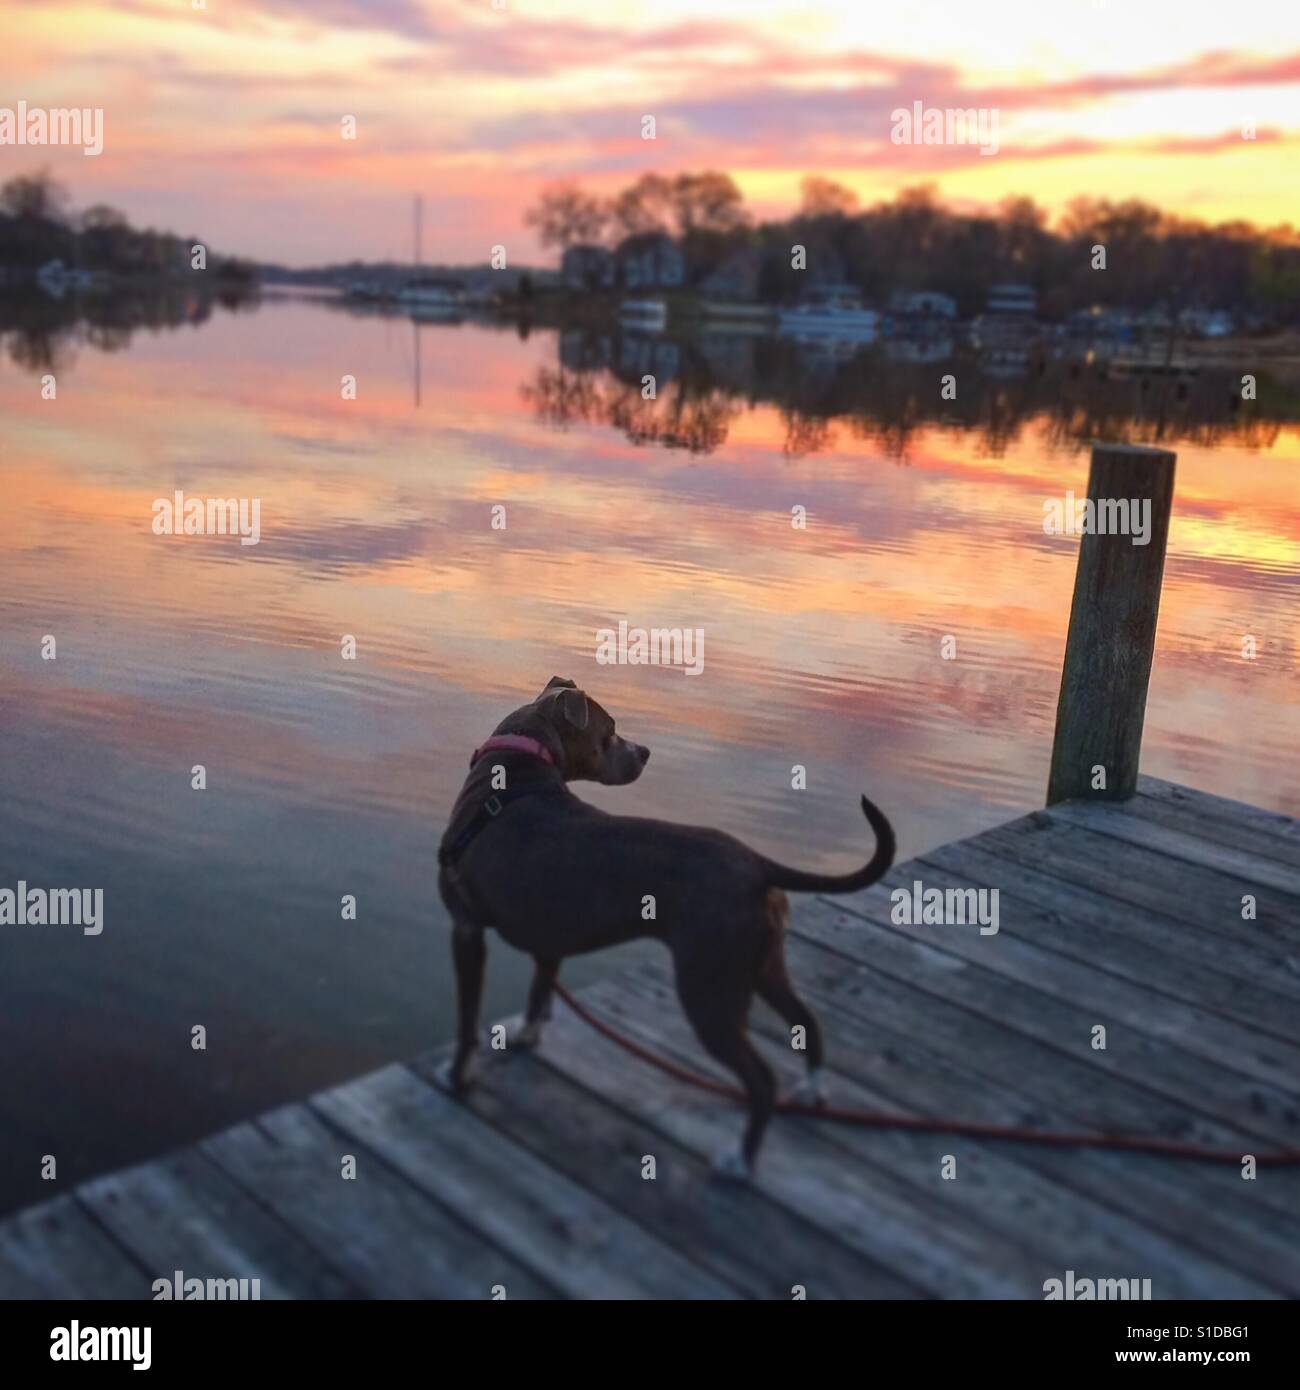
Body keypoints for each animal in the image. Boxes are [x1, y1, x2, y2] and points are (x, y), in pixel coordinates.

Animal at [436, 678, 895, 1178]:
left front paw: (457, 1076)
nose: (645, 751)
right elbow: (540, 993)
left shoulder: (466, 930)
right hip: (762, 965)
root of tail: (756, 863)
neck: (520, 770)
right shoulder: (549, 938)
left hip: (709, 988)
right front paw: (524, 1035)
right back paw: (812, 1090)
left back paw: (739, 1161)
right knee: (807, 1021)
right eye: (609, 734)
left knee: (761, 1078)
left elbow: (466, 1021)